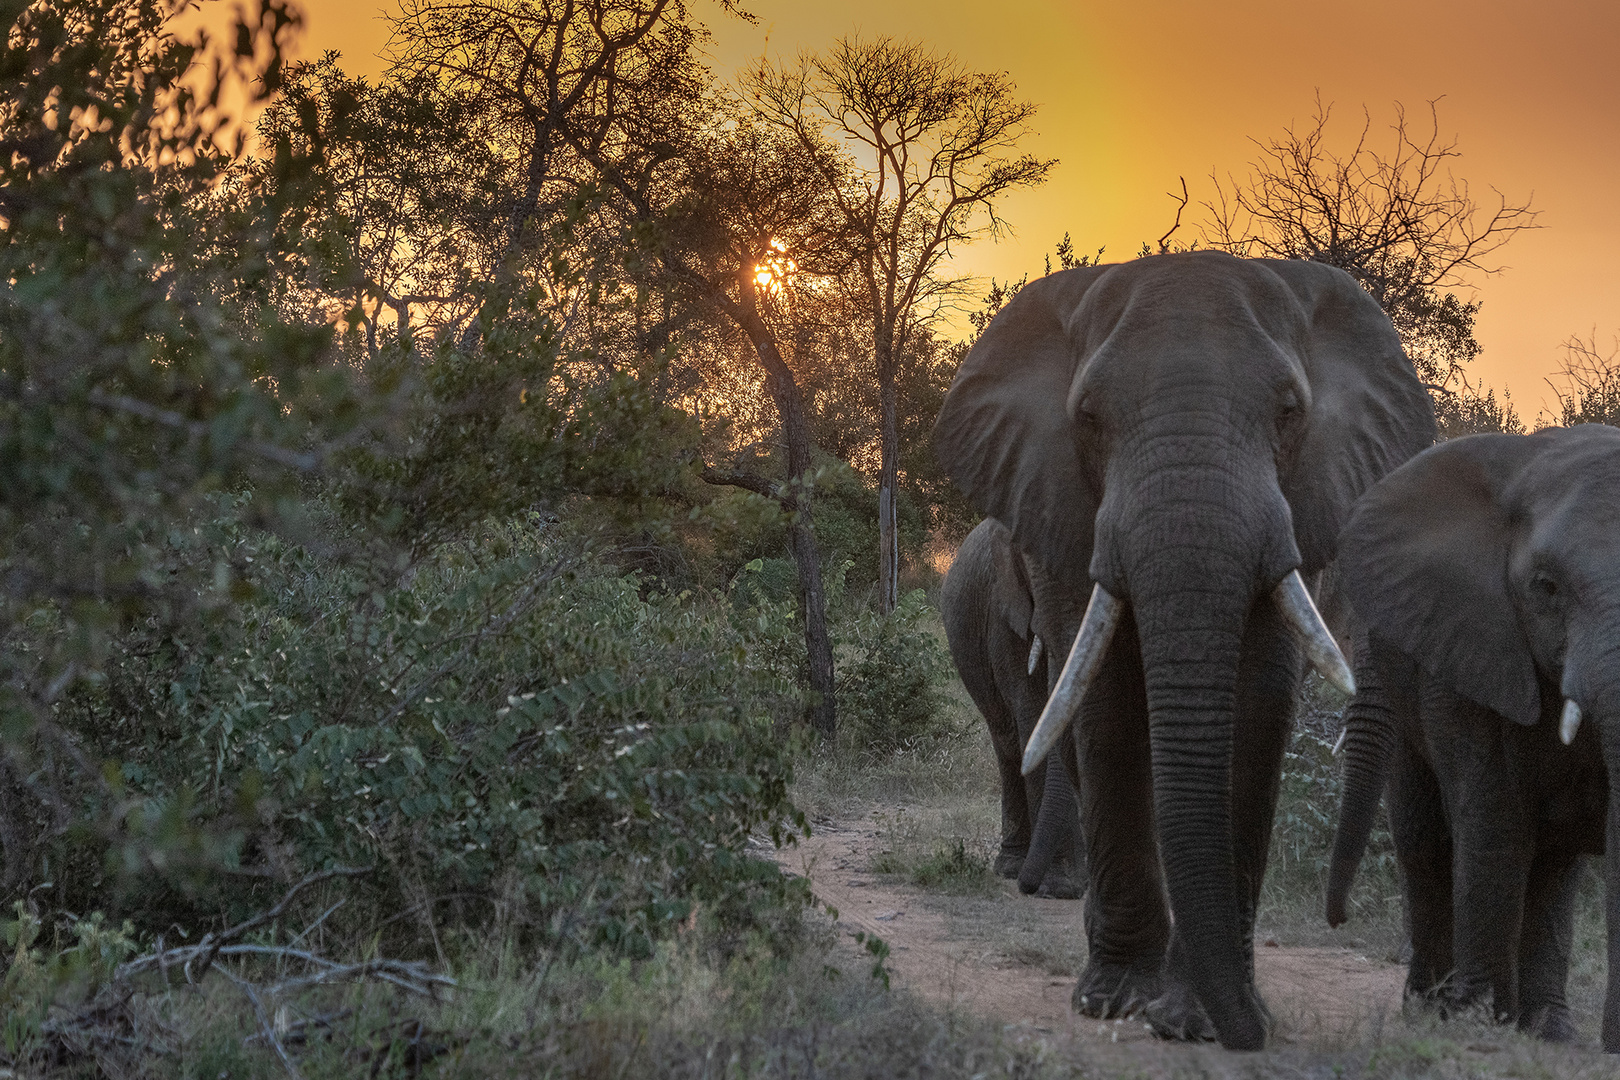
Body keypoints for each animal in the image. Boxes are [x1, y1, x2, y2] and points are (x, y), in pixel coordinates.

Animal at [946, 514, 1082, 893]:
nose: (1027, 886)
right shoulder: (1004, 613)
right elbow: (1033, 715)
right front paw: (1061, 886)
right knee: (1006, 743)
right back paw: (1011, 866)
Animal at [1328, 427, 1620, 1049]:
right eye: (1545, 588)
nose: (1337, 920)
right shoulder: (1465, 650)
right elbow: (1493, 819)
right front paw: (1474, 1021)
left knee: (1554, 862)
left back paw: (1548, 1028)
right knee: (1425, 839)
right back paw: (1433, 1010)